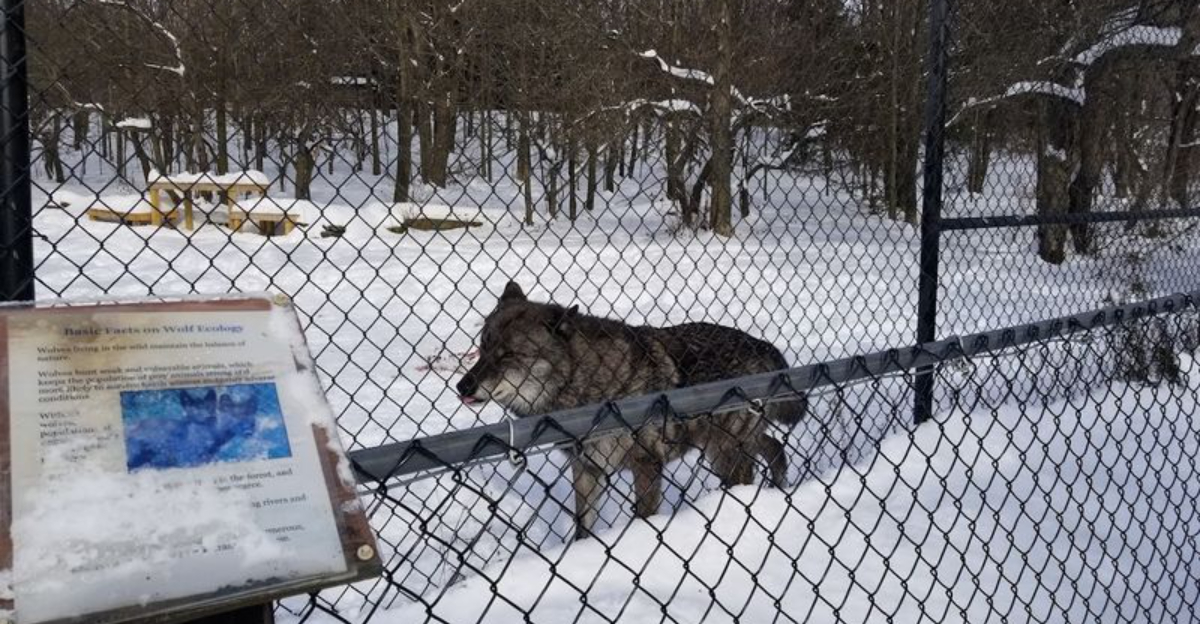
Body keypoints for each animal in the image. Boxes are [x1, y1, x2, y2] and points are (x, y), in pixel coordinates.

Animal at [456, 281, 805, 539]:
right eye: (483, 346)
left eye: (508, 355)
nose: (462, 387)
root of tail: (765, 347)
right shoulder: (586, 469)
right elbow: (582, 528)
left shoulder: (646, 465)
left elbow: (645, 517)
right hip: (727, 444)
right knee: (774, 447)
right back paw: (779, 489)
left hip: (724, 452)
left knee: (749, 473)